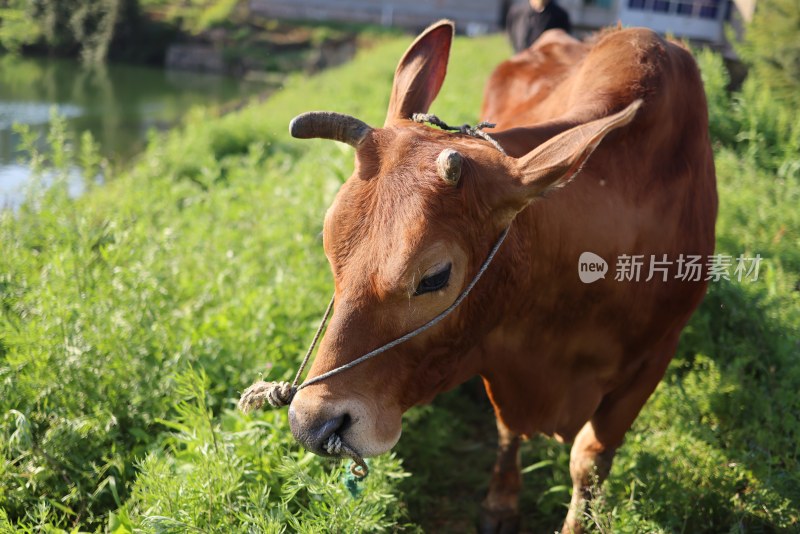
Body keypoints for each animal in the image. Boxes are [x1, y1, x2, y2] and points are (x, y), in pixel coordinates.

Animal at [284, 21, 716, 534]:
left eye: (435, 277)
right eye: (329, 245)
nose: (312, 423)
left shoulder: (652, 360)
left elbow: (588, 460)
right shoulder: (497, 353)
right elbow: (508, 429)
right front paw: (500, 501)